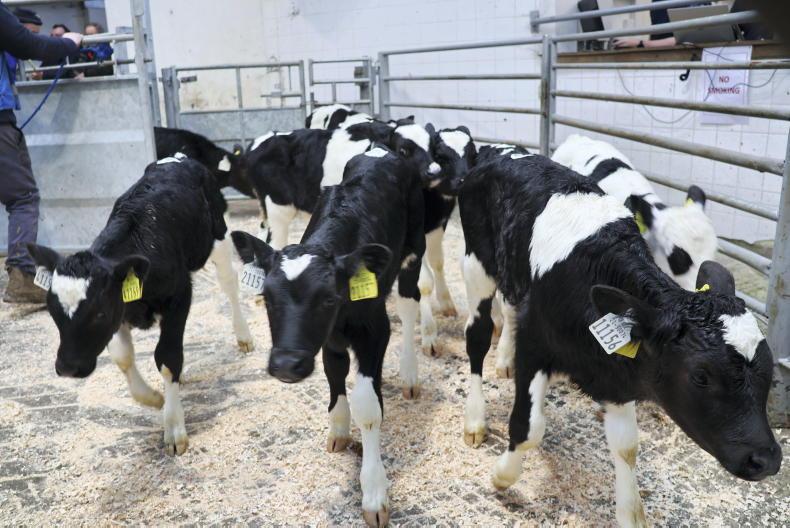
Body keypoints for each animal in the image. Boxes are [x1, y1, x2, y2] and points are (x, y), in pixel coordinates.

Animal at [27, 156, 254, 456]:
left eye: (99, 313)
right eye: (54, 314)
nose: (66, 367)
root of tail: (177, 158)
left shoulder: (180, 295)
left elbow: (168, 357)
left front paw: (174, 429)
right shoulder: (121, 312)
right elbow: (123, 357)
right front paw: (155, 398)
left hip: (219, 237)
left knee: (229, 283)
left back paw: (244, 336)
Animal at [231, 144, 425, 527]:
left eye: (329, 299)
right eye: (267, 298)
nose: (286, 364)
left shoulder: (374, 332)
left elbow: (369, 406)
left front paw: (374, 492)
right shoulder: (328, 339)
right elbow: (335, 375)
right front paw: (338, 430)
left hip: (416, 249)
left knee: (410, 304)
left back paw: (409, 374)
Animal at [458, 151, 781, 526]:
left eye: (769, 369)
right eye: (701, 376)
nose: (766, 459)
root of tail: (502, 153)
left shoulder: (616, 373)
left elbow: (627, 447)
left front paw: (631, 513)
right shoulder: (535, 344)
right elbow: (529, 428)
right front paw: (503, 476)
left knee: (510, 305)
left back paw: (504, 359)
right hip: (476, 263)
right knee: (477, 337)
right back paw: (475, 419)